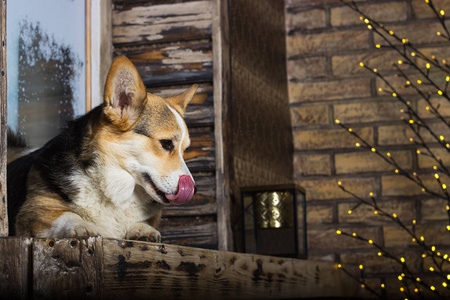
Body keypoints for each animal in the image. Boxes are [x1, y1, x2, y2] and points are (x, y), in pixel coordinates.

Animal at [6, 56, 197, 243]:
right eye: (166, 143)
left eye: (185, 149)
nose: (194, 189)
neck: (114, 185)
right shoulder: (32, 211)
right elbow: (68, 215)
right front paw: (83, 226)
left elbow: (143, 222)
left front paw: (143, 229)